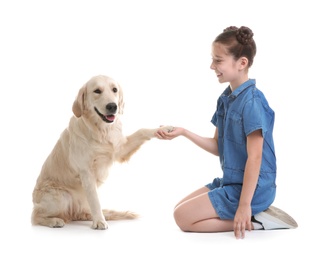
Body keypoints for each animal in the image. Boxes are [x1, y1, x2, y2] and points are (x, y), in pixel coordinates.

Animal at [32, 74, 174, 229]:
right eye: (97, 91)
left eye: (114, 90)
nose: (112, 106)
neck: (101, 130)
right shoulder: (86, 172)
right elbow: (95, 200)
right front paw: (99, 221)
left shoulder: (120, 149)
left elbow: (142, 131)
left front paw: (164, 129)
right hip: (61, 196)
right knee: (35, 216)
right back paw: (55, 221)